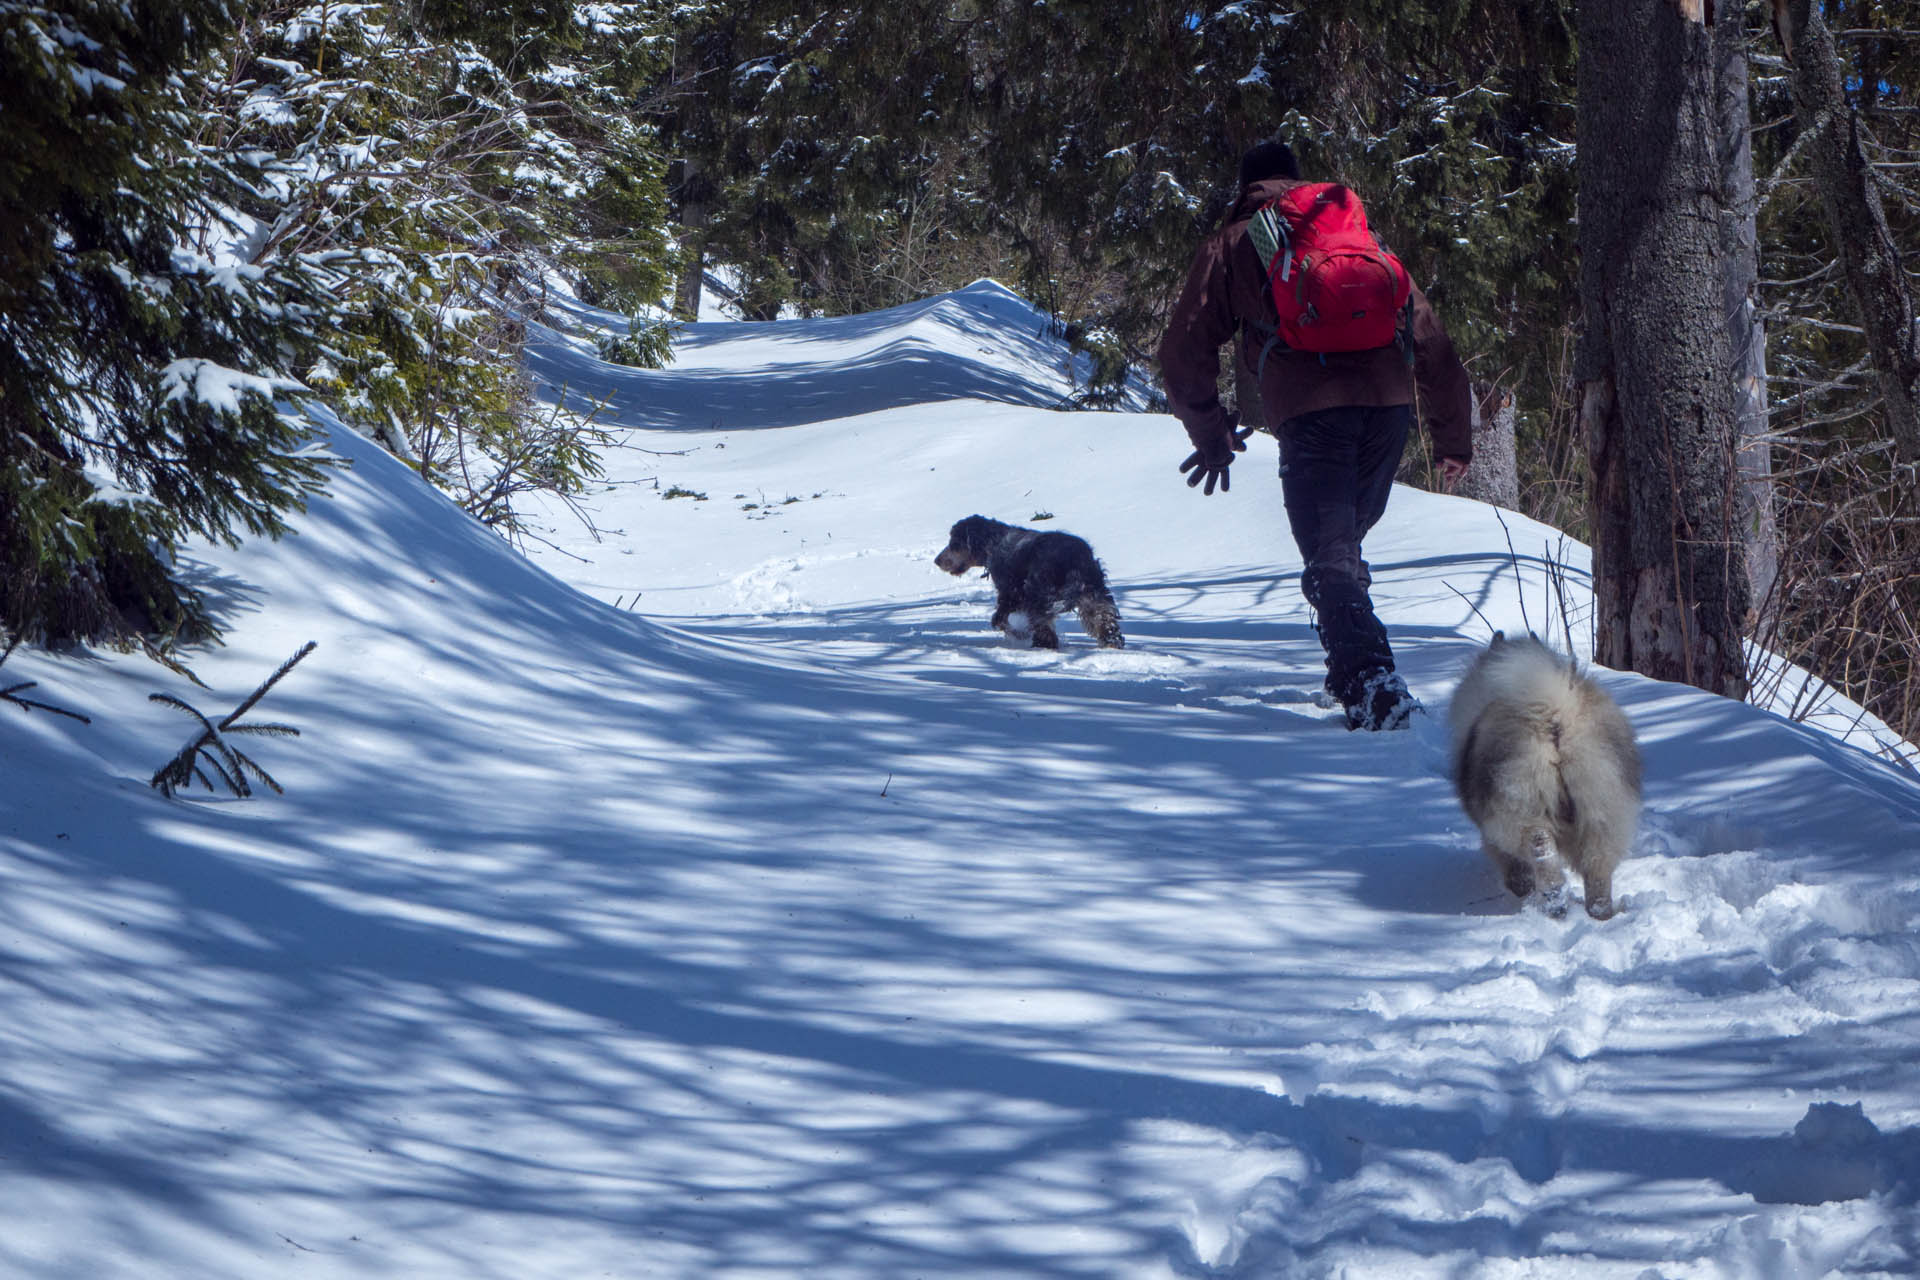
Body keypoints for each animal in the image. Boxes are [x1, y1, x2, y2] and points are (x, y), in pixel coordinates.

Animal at [933, 514, 1121, 652]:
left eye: (954, 543)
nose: (937, 560)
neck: (994, 544)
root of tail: (1073, 560)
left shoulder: (1011, 595)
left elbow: (998, 621)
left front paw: (1020, 635)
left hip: (1038, 594)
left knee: (1043, 625)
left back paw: (1042, 645)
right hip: (1095, 594)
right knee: (1105, 619)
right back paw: (1111, 641)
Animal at [1443, 633, 1643, 917]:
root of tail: (1554, 713)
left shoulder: (1493, 836)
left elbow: (1514, 867)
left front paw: (1520, 889)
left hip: (1524, 808)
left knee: (1542, 850)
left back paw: (1554, 900)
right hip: (1604, 813)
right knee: (1598, 869)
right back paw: (1599, 912)